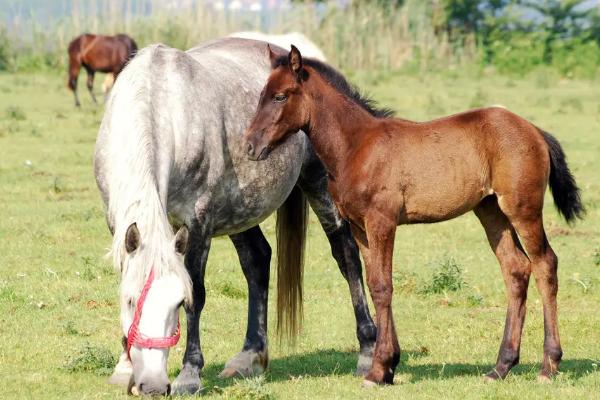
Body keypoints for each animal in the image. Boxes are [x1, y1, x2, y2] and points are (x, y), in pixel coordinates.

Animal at [243, 45, 580, 386]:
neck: (357, 145)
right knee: (516, 270)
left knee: (545, 264)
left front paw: (379, 369)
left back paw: (549, 365)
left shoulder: (382, 222)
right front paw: (388, 367)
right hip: (491, 212)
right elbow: (374, 282)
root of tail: (535, 131)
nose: (250, 146)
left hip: (522, 209)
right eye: (260, 95)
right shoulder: (360, 228)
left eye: (280, 96)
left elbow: (383, 286)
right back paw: (501, 366)